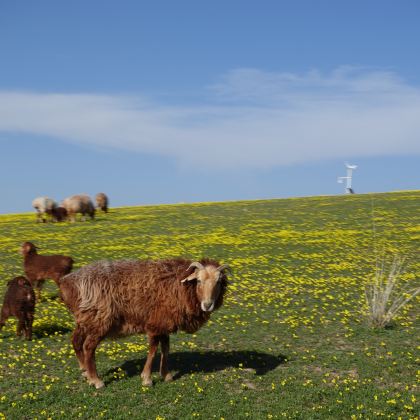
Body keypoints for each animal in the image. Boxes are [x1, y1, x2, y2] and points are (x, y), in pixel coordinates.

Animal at [58, 258, 230, 388]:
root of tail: (66, 283)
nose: (207, 305)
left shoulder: (164, 323)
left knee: (76, 340)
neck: (179, 285)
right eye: (199, 280)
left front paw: (166, 375)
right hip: (99, 320)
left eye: (218, 282)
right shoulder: (155, 324)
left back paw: (85, 372)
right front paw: (147, 378)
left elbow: (166, 348)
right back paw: (96, 380)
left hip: (84, 320)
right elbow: (153, 350)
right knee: (88, 347)